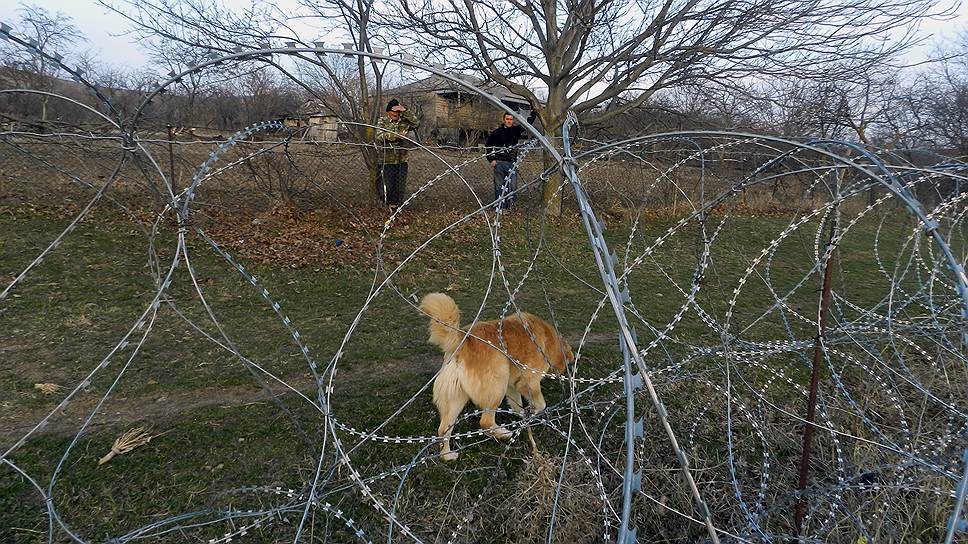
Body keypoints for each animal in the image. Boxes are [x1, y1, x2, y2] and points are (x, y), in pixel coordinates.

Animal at [420, 296, 572, 462]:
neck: (549, 340)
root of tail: (464, 339)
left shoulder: (512, 386)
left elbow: (517, 405)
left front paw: (524, 416)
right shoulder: (528, 382)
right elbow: (540, 403)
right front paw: (533, 413)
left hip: (455, 399)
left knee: (443, 429)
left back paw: (447, 455)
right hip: (497, 387)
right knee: (485, 422)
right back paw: (504, 434)